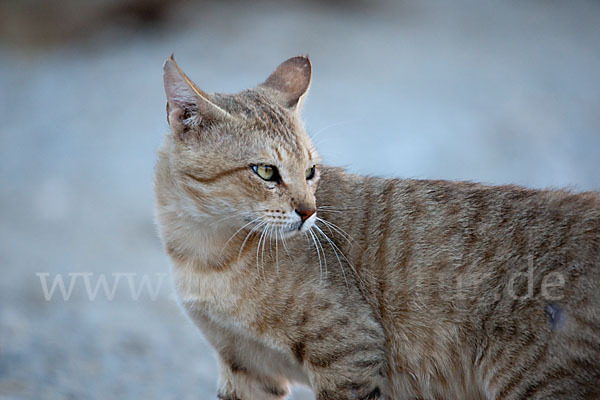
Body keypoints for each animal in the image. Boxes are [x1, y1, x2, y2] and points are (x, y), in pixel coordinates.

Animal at [155, 54, 600, 398]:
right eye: (265, 171)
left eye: (310, 171)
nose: (308, 211)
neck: (204, 255)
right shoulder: (245, 366)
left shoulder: (349, 352)